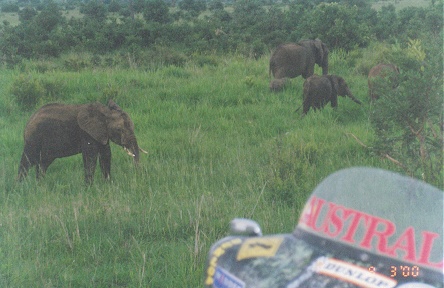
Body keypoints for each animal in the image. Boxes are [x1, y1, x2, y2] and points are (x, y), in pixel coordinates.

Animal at [17, 100, 147, 183]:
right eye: (119, 130)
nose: (138, 174)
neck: (104, 113)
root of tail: (29, 120)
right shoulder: (86, 133)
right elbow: (90, 157)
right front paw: (89, 187)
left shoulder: (101, 133)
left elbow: (106, 155)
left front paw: (108, 184)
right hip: (34, 138)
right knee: (28, 160)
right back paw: (21, 186)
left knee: (42, 163)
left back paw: (40, 184)